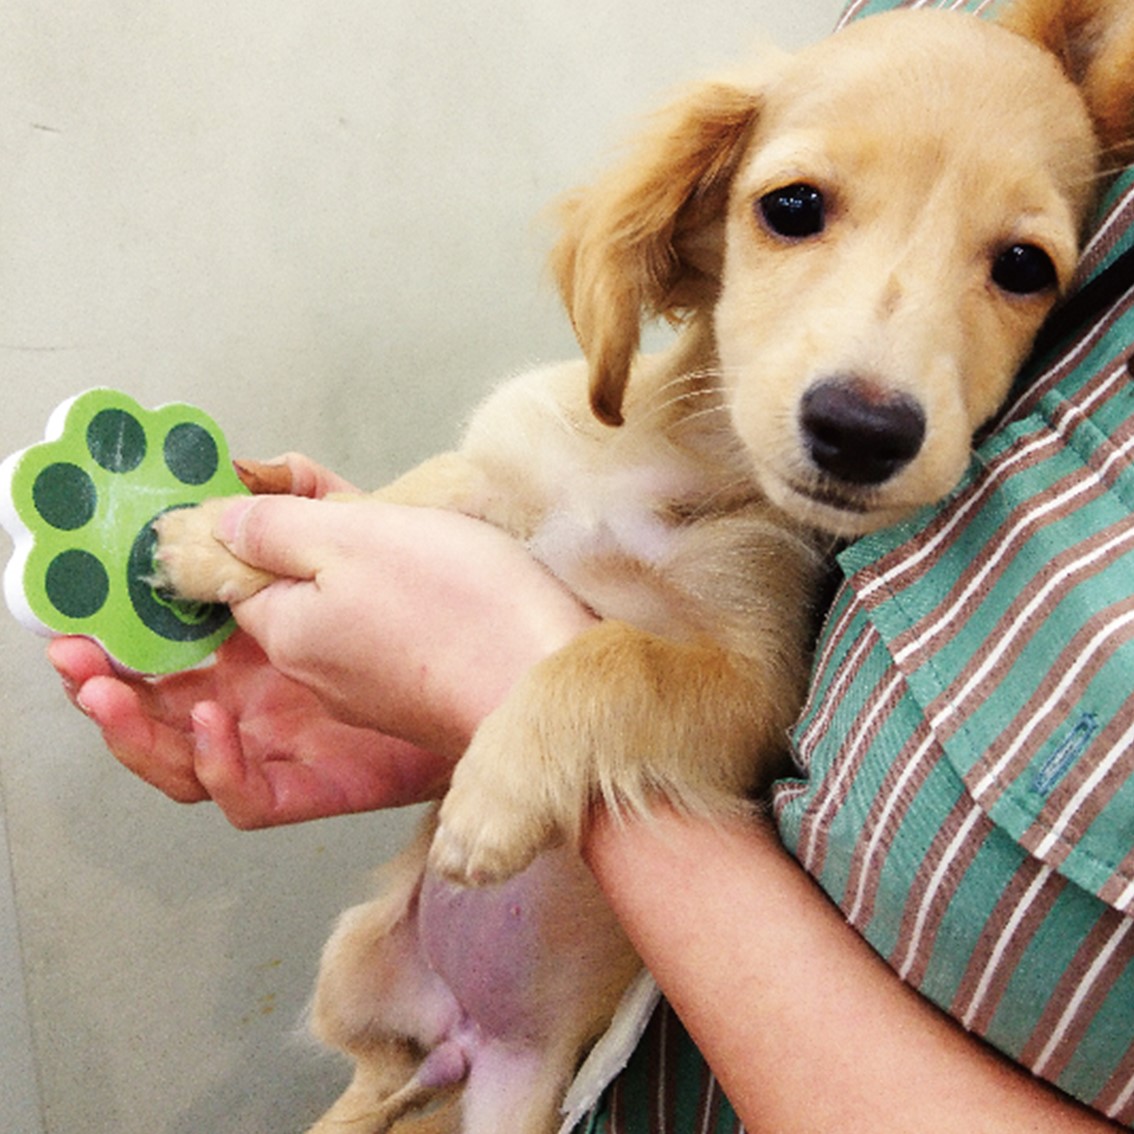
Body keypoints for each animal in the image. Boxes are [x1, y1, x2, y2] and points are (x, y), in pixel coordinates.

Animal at [154, 1, 1134, 1130]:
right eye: (792, 206)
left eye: (1025, 267)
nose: (863, 431)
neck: (680, 455)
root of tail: (459, 1042)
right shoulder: (504, 475)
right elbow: (396, 503)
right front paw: (218, 537)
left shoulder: (755, 692)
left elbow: (609, 657)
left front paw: (493, 793)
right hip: (351, 963)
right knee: (368, 1079)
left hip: (512, 1092)